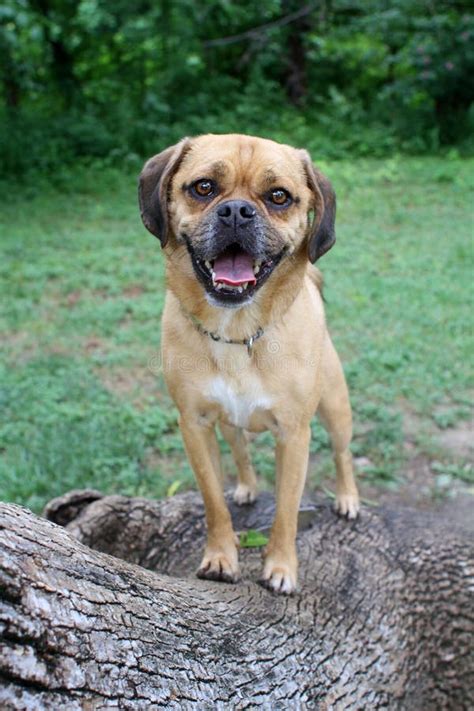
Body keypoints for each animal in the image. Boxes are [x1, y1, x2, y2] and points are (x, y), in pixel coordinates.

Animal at [139, 135, 358, 596]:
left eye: (279, 197)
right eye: (203, 187)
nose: (237, 211)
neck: (238, 332)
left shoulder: (294, 435)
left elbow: (287, 512)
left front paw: (281, 568)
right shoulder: (195, 425)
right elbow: (213, 502)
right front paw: (221, 557)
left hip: (335, 410)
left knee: (343, 453)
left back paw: (348, 498)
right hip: (228, 424)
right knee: (240, 453)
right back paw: (245, 487)